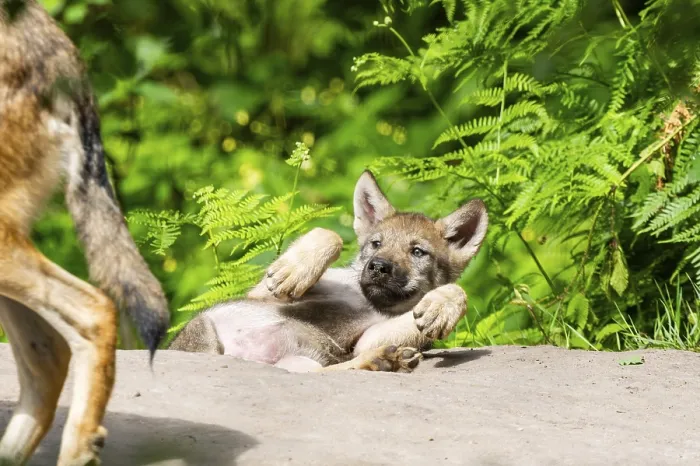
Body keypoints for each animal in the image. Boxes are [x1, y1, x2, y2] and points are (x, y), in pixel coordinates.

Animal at [169, 170, 488, 373]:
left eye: (418, 252)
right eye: (376, 244)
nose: (378, 266)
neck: (364, 300)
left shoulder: (369, 337)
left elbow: (458, 291)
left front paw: (441, 307)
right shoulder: (261, 294)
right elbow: (330, 235)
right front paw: (293, 271)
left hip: (297, 364)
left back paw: (381, 361)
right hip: (203, 328)